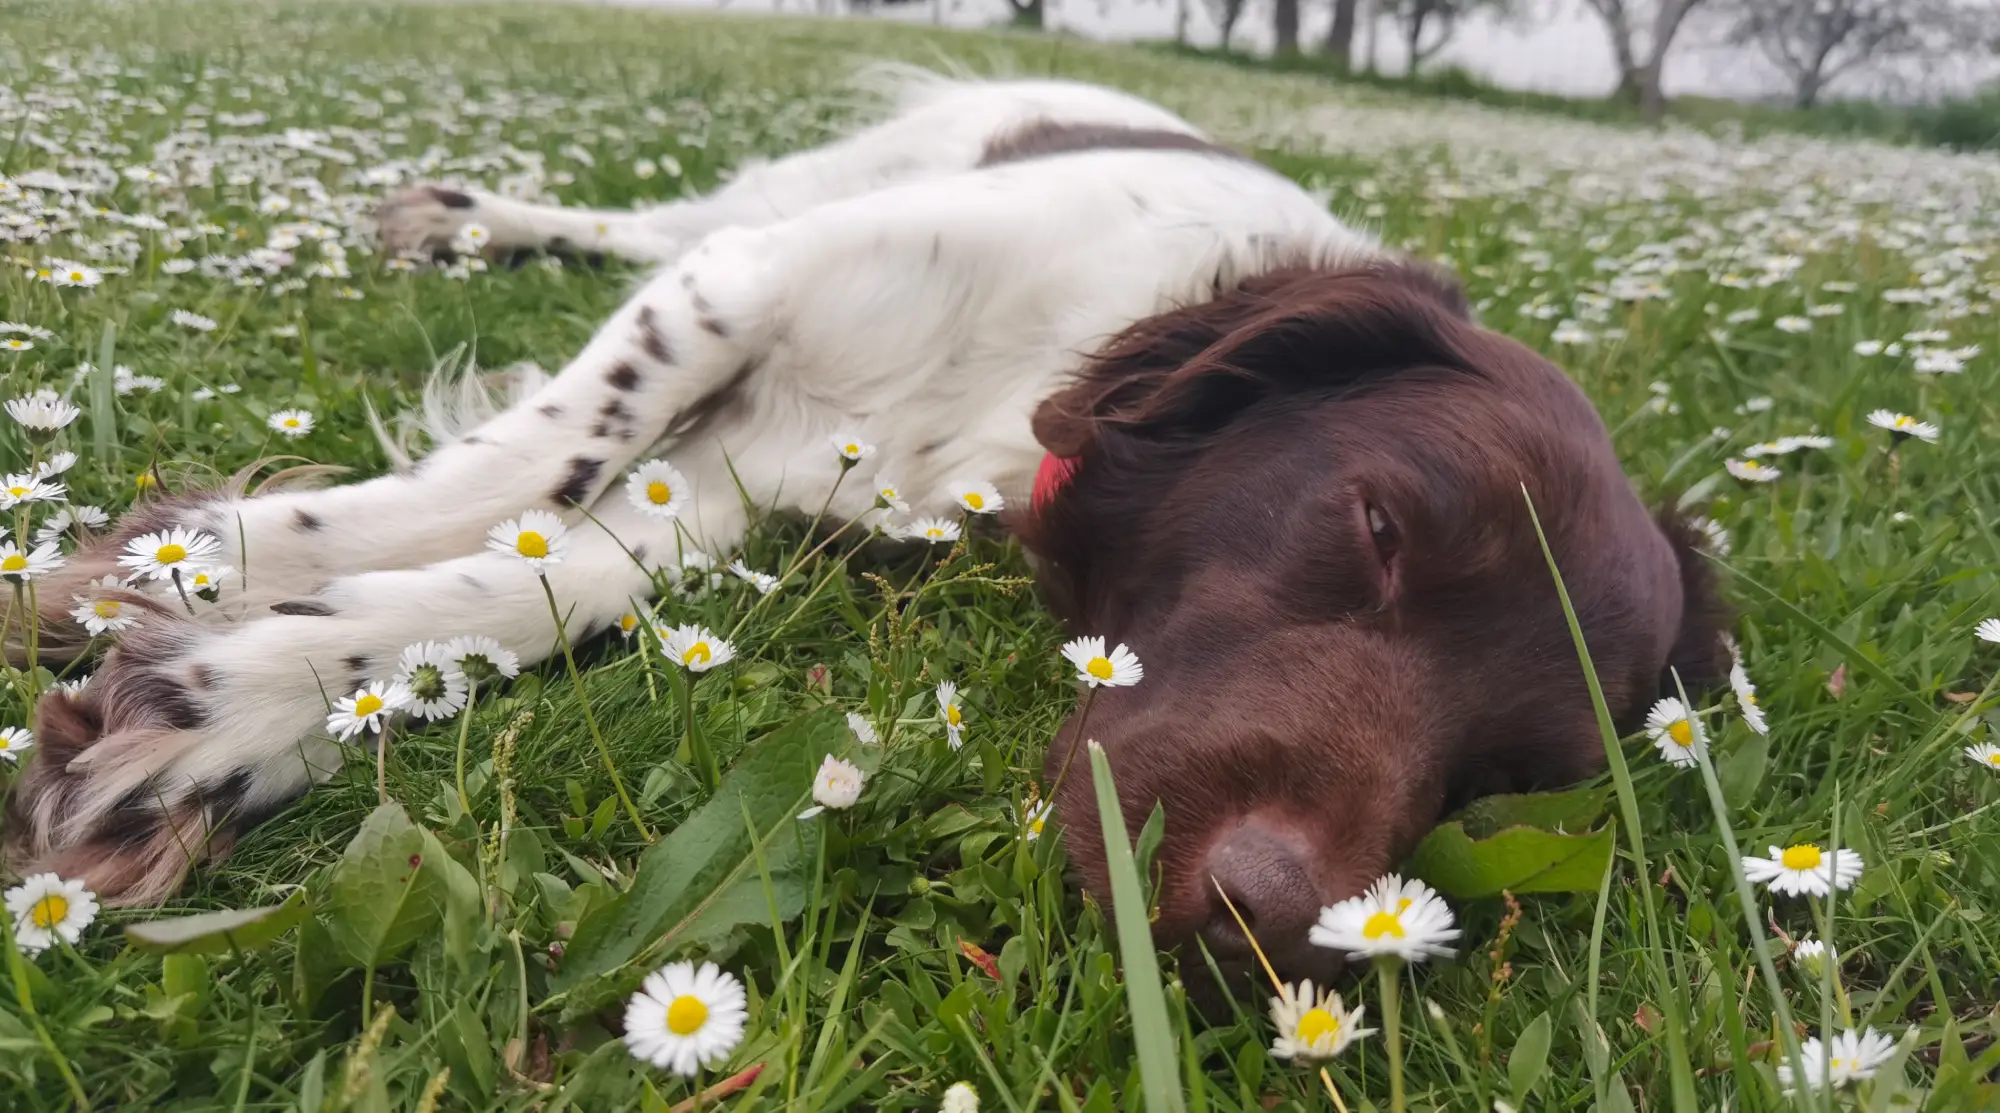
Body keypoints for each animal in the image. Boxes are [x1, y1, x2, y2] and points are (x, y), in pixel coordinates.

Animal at [3, 71, 1720, 972]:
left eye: (1512, 775)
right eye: (1376, 527)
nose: (1270, 925)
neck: (1011, 394)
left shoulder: (728, 496)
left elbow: (521, 589)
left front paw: (213, 715)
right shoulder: (753, 290)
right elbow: (527, 476)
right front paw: (184, 569)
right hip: (797, 199)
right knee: (651, 223)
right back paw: (470, 220)